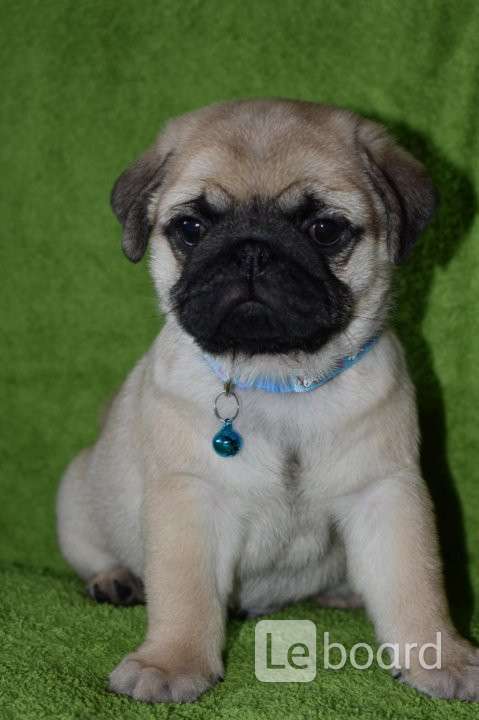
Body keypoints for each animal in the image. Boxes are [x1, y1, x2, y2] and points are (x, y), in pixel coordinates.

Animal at [57, 99, 479, 703]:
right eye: (191, 227)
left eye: (324, 229)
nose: (251, 251)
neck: (279, 379)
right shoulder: (192, 499)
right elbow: (184, 593)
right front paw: (171, 663)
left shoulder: (385, 492)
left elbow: (415, 583)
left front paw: (439, 655)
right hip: (76, 496)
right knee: (94, 552)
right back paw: (115, 579)